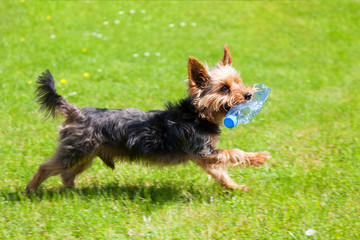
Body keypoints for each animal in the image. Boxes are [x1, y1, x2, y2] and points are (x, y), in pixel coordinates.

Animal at [23, 45, 270, 195]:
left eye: (239, 82)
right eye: (224, 88)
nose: (249, 94)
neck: (198, 115)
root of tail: (75, 111)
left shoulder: (205, 157)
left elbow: (221, 174)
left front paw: (236, 188)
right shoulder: (203, 151)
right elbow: (233, 153)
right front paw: (258, 157)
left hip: (86, 154)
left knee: (67, 173)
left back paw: (72, 192)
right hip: (76, 149)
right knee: (46, 167)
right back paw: (29, 191)